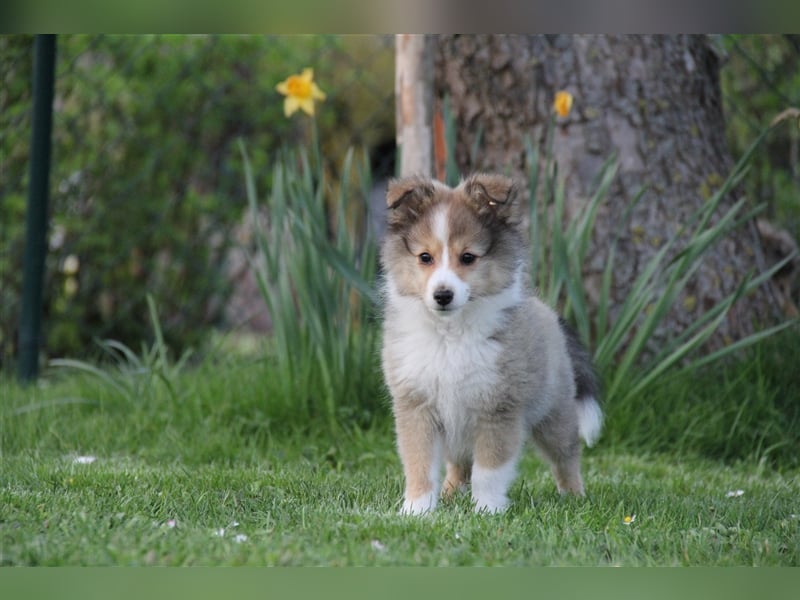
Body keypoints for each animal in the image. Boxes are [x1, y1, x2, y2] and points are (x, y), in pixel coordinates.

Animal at [380, 171, 600, 512]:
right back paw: (449, 494)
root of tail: (549, 313)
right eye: (425, 257)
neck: (450, 335)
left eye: (468, 257)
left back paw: (575, 497)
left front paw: (487, 510)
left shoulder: (497, 408)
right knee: (458, 465)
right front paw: (417, 510)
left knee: (566, 456)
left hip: (554, 414)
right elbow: (419, 465)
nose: (442, 295)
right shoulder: (416, 405)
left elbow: (489, 470)